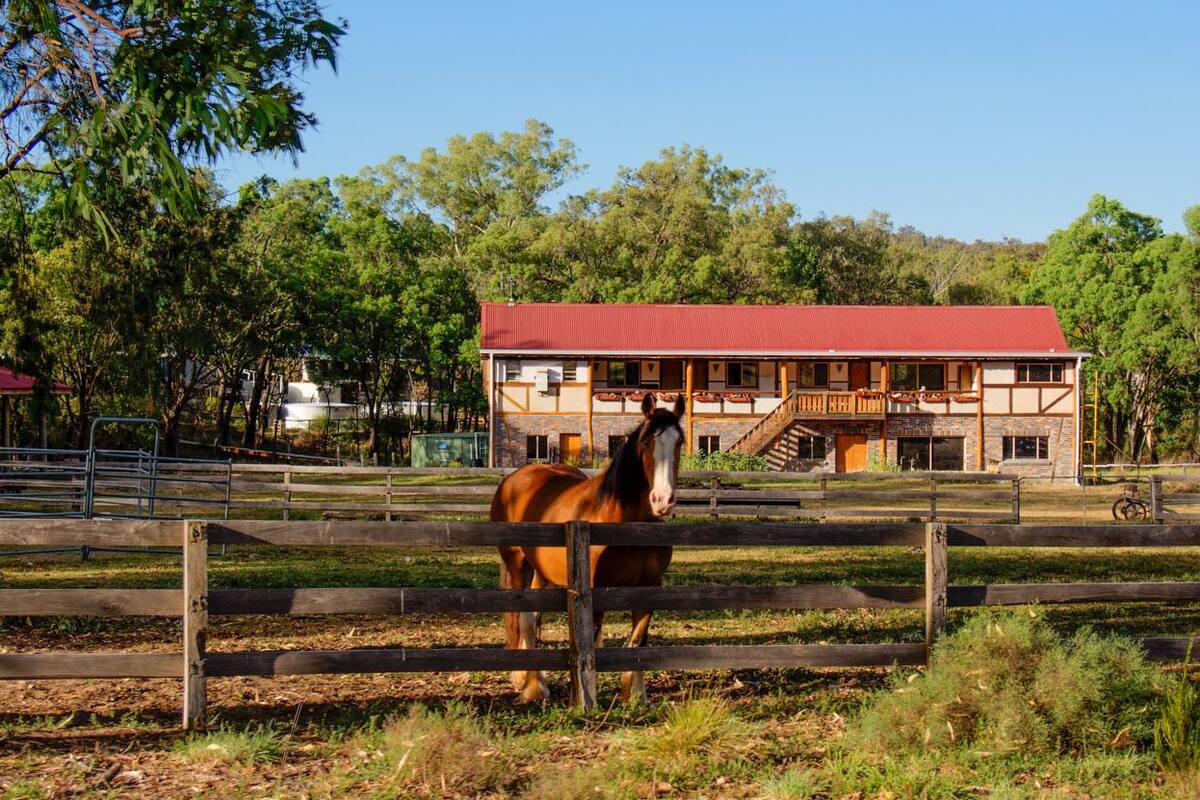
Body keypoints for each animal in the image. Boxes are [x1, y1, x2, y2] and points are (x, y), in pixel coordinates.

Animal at [490, 392, 684, 703]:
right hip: (518, 565)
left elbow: (638, 640)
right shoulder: (594, 589)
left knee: (532, 618)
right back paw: (530, 685)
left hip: (541, 572)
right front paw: (586, 696)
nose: (662, 500)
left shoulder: (649, 586)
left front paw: (636, 696)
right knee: (523, 619)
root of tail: (514, 478)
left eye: (679, 442)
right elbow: (589, 639)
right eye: (646, 442)